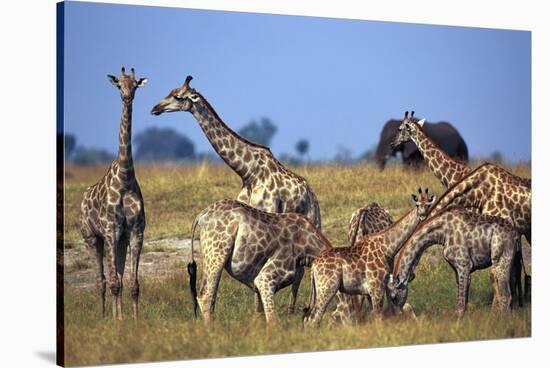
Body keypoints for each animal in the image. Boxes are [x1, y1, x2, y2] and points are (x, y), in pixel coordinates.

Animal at [80, 67, 148, 320]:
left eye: (135, 85)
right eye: (119, 84)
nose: (127, 97)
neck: (125, 178)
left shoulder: (135, 231)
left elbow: (132, 284)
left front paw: (134, 321)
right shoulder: (110, 231)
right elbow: (114, 283)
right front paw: (117, 323)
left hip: (119, 240)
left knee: (114, 276)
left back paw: (116, 315)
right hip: (91, 238)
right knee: (101, 281)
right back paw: (103, 317)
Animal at [151, 75, 324, 314]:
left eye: (178, 96)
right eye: (170, 91)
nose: (155, 108)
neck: (248, 172)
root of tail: (313, 197)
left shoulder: (268, 210)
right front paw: (256, 314)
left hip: (313, 221)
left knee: (301, 274)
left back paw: (294, 310)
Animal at [188, 200, 332, 324]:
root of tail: (201, 215)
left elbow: (260, 313)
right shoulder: (266, 278)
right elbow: (272, 318)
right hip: (217, 252)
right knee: (206, 296)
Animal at [304, 188, 438, 326]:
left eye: (428, 205)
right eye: (418, 205)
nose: (423, 215)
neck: (386, 247)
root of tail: (314, 266)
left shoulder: (370, 290)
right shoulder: (377, 287)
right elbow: (379, 317)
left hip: (319, 290)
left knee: (309, 317)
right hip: (327, 288)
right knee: (314, 318)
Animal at [390, 207, 524, 316]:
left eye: (393, 297)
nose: (397, 315)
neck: (442, 233)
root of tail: (516, 234)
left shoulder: (464, 264)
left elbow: (460, 306)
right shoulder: (456, 268)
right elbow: (463, 301)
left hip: (500, 260)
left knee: (506, 295)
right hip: (513, 261)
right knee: (514, 296)